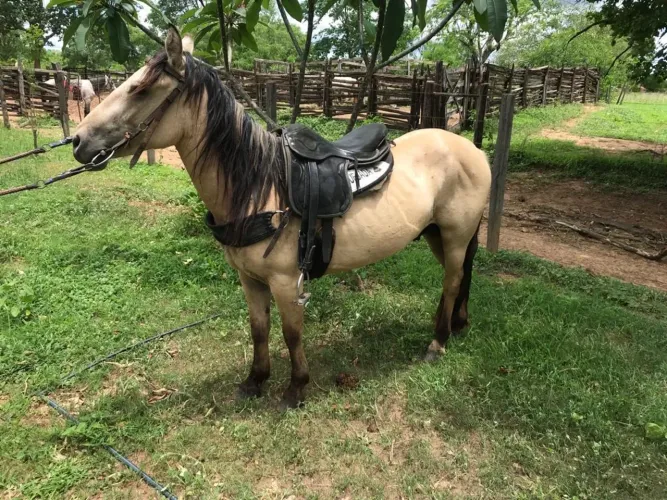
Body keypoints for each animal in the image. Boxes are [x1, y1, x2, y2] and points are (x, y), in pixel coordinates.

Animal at [71, 28, 491, 409]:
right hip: (435, 233)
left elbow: (291, 334)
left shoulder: (287, 281)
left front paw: (295, 389)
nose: (78, 141)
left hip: (455, 234)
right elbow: (259, 329)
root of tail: (473, 150)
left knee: (453, 280)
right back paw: (455, 325)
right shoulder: (250, 279)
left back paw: (437, 342)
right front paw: (254, 381)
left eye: (140, 90)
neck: (258, 186)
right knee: (457, 279)